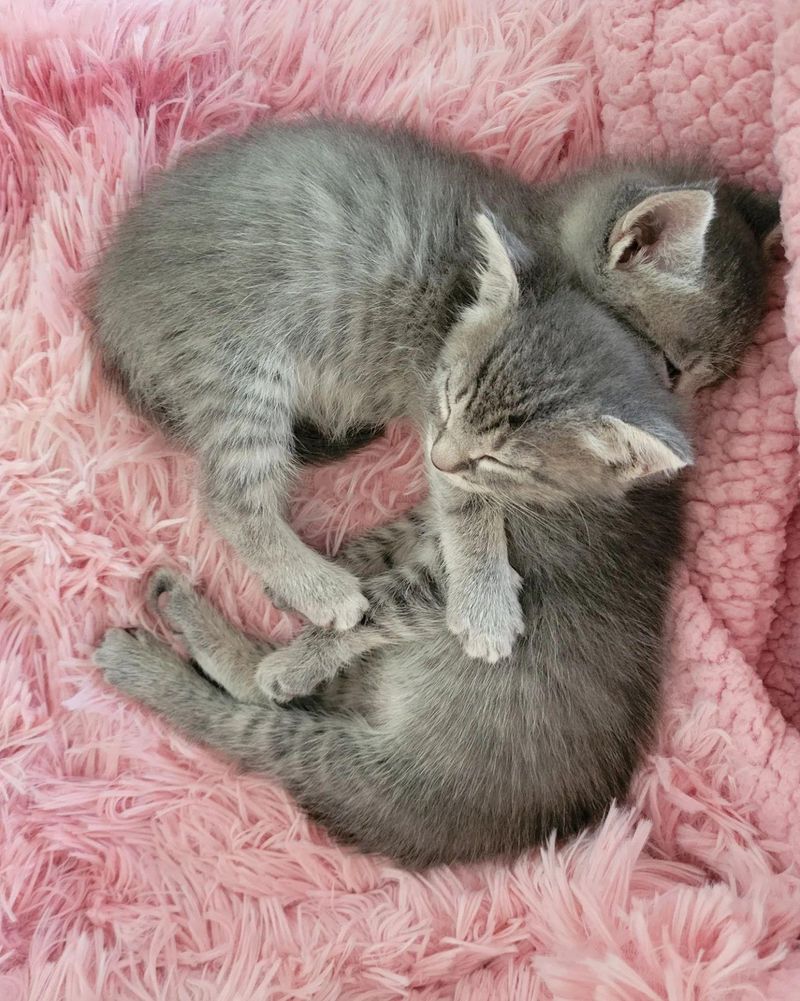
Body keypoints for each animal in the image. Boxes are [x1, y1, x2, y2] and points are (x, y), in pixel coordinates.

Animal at [89, 119, 780, 664]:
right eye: (670, 368)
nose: (685, 414)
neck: (544, 230)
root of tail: (107, 301)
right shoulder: (439, 385)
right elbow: (467, 497)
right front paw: (484, 602)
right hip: (238, 366)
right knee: (231, 497)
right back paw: (320, 588)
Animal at [97, 282, 692, 868]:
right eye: (448, 400)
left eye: (501, 459)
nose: (440, 456)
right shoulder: (431, 521)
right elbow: (386, 543)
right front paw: (327, 576)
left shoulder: (484, 570)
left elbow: (386, 603)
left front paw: (311, 632)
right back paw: (189, 611)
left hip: (350, 761)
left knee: (250, 722)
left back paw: (164, 664)